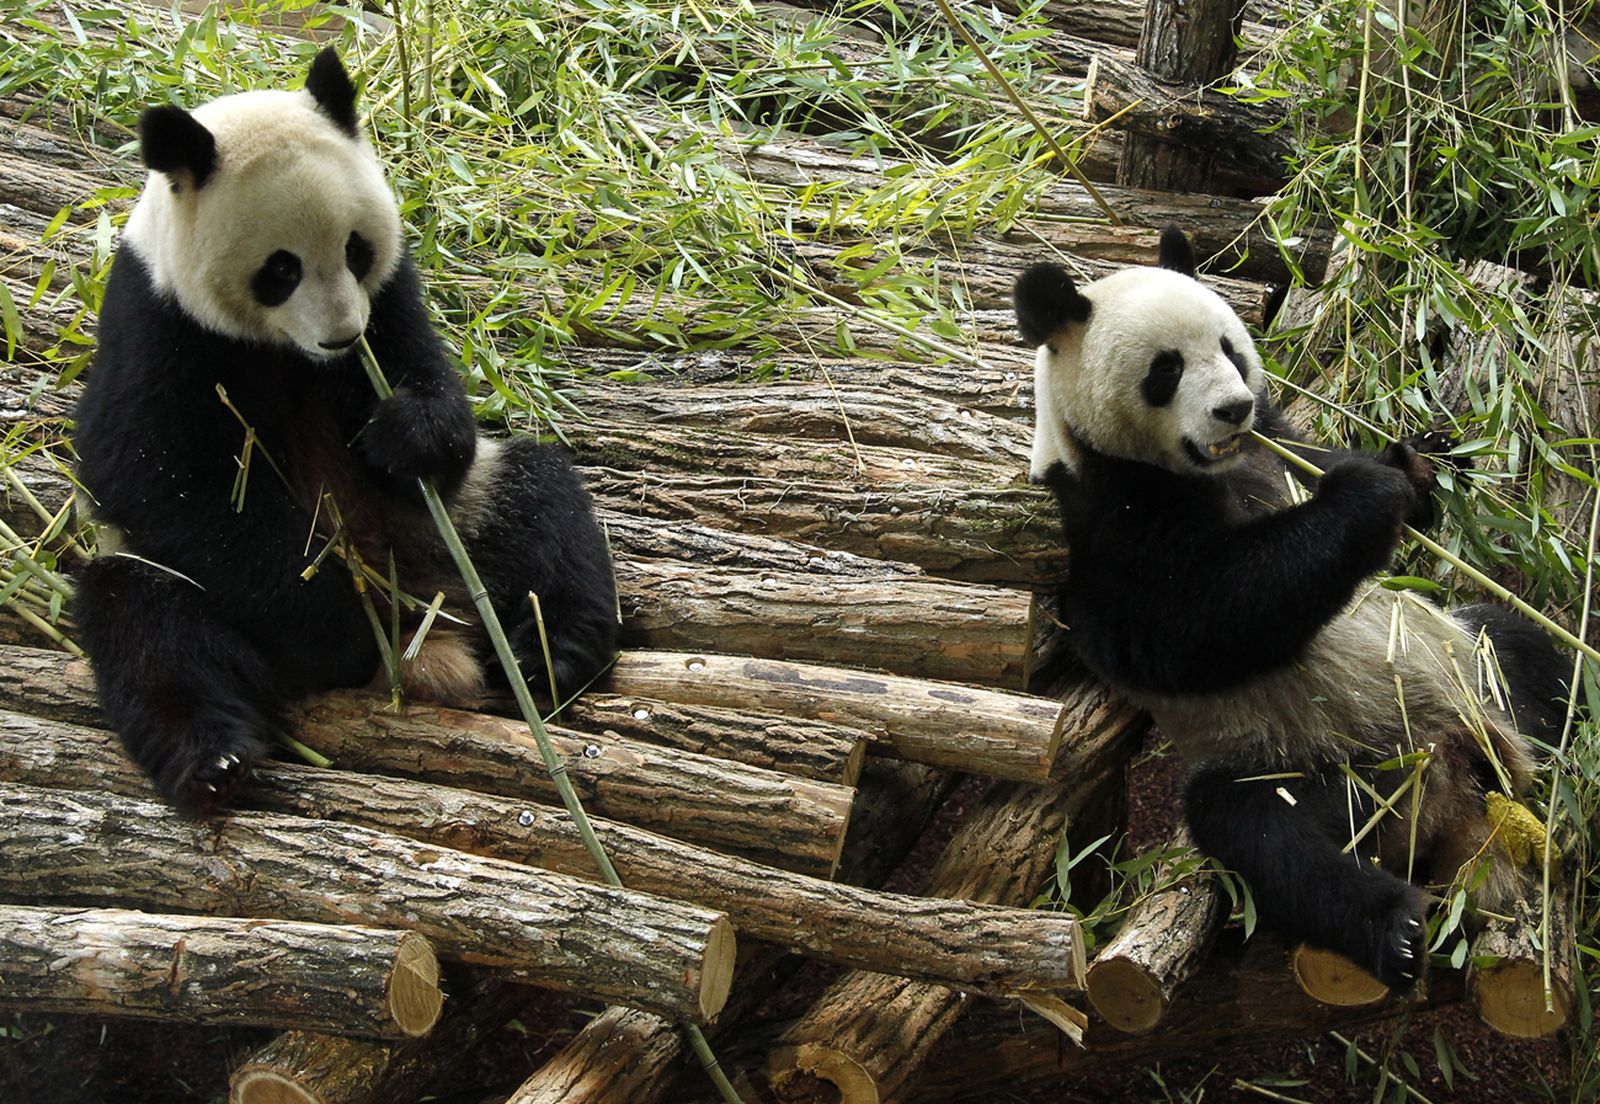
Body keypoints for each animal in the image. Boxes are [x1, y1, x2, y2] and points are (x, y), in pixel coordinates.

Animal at [72, 49, 619, 815]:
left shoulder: (389, 296)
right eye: (280, 269)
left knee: (544, 505)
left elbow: (432, 390)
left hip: (455, 524)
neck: (289, 353)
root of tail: (422, 623)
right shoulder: (154, 318)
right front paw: (338, 629)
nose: (341, 336)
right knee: (147, 625)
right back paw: (215, 759)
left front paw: (406, 434)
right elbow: (147, 469)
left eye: (356, 249)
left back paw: (550, 653)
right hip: (163, 574)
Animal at [1014, 228, 1569, 989]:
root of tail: (1446, 793)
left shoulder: (1281, 445)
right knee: (1265, 834)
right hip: (1316, 765)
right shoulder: (1105, 519)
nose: (1233, 409)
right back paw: (1393, 929)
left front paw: (1422, 459)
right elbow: (1195, 620)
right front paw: (1370, 495)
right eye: (1166, 369)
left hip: (1473, 670)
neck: (1210, 468)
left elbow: (1338, 466)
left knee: (1525, 649)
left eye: (1229, 347)